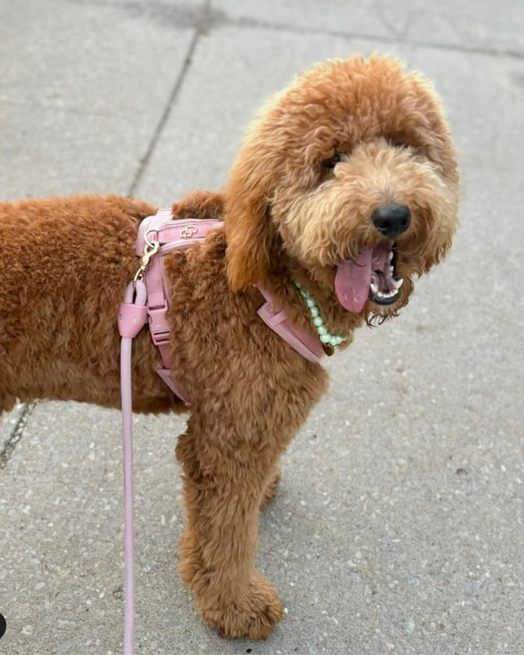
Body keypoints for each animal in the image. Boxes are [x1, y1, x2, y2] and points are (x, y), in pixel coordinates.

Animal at [0, 56, 458, 640]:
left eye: (407, 146)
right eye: (330, 161)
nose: (393, 215)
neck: (268, 283)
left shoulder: (249, 425)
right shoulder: (229, 439)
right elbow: (227, 534)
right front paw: (235, 607)